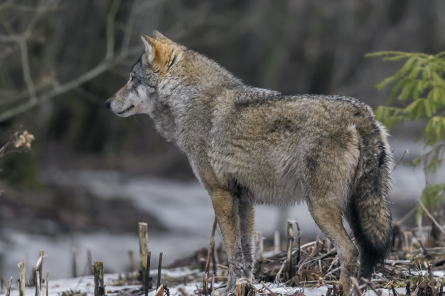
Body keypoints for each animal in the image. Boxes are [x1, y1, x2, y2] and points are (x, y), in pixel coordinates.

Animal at [106, 30, 394, 294]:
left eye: (132, 79)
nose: (107, 103)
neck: (190, 102)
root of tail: (362, 112)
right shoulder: (245, 199)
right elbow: (247, 252)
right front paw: (244, 284)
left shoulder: (220, 195)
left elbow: (232, 251)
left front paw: (228, 288)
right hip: (353, 208)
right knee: (364, 253)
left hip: (322, 208)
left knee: (350, 251)